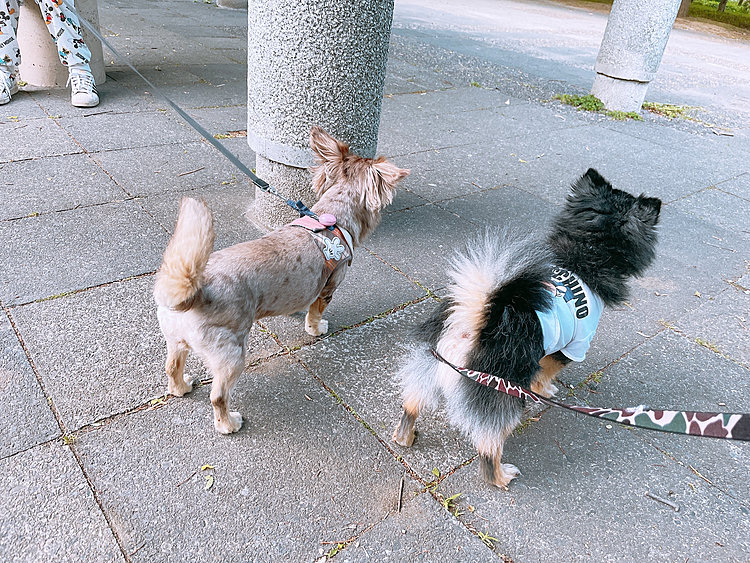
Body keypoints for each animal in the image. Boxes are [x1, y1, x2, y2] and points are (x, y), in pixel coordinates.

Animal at [155, 128, 408, 434]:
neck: (332, 219)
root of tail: (195, 292)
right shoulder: (328, 287)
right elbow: (315, 314)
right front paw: (316, 328)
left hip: (175, 340)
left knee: (172, 367)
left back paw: (181, 387)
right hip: (232, 354)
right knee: (218, 396)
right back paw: (229, 423)